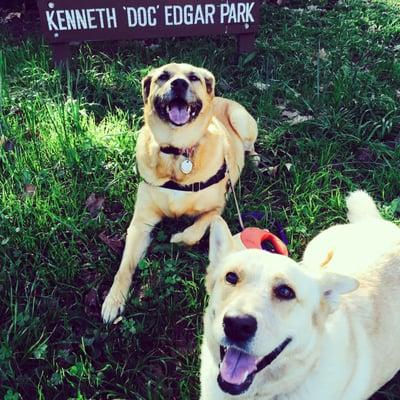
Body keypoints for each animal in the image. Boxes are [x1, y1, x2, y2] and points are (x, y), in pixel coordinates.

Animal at [101, 64, 258, 324]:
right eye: (163, 76)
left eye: (193, 77)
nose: (179, 84)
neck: (178, 153)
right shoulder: (141, 224)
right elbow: (124, 267)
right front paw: (114, 300)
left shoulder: (217, 208)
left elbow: (195, 231)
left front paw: (177, 238)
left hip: (242, 121)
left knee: (250, 144)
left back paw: (254, 158)